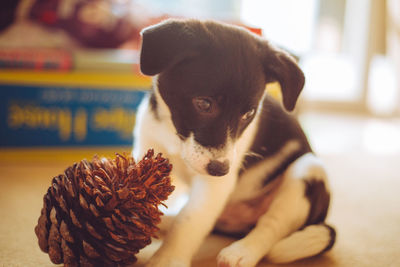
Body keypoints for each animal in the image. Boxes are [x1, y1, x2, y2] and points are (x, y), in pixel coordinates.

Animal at [133, 19, 336, 267]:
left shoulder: (214, 185)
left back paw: (242, 252)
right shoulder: (147, 148)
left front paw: (168, 259)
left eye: (248, 114)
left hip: (307, 170)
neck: (175, 136)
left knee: (271, 226)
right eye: (204, 103)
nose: (221, 170)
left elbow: (190, 221)